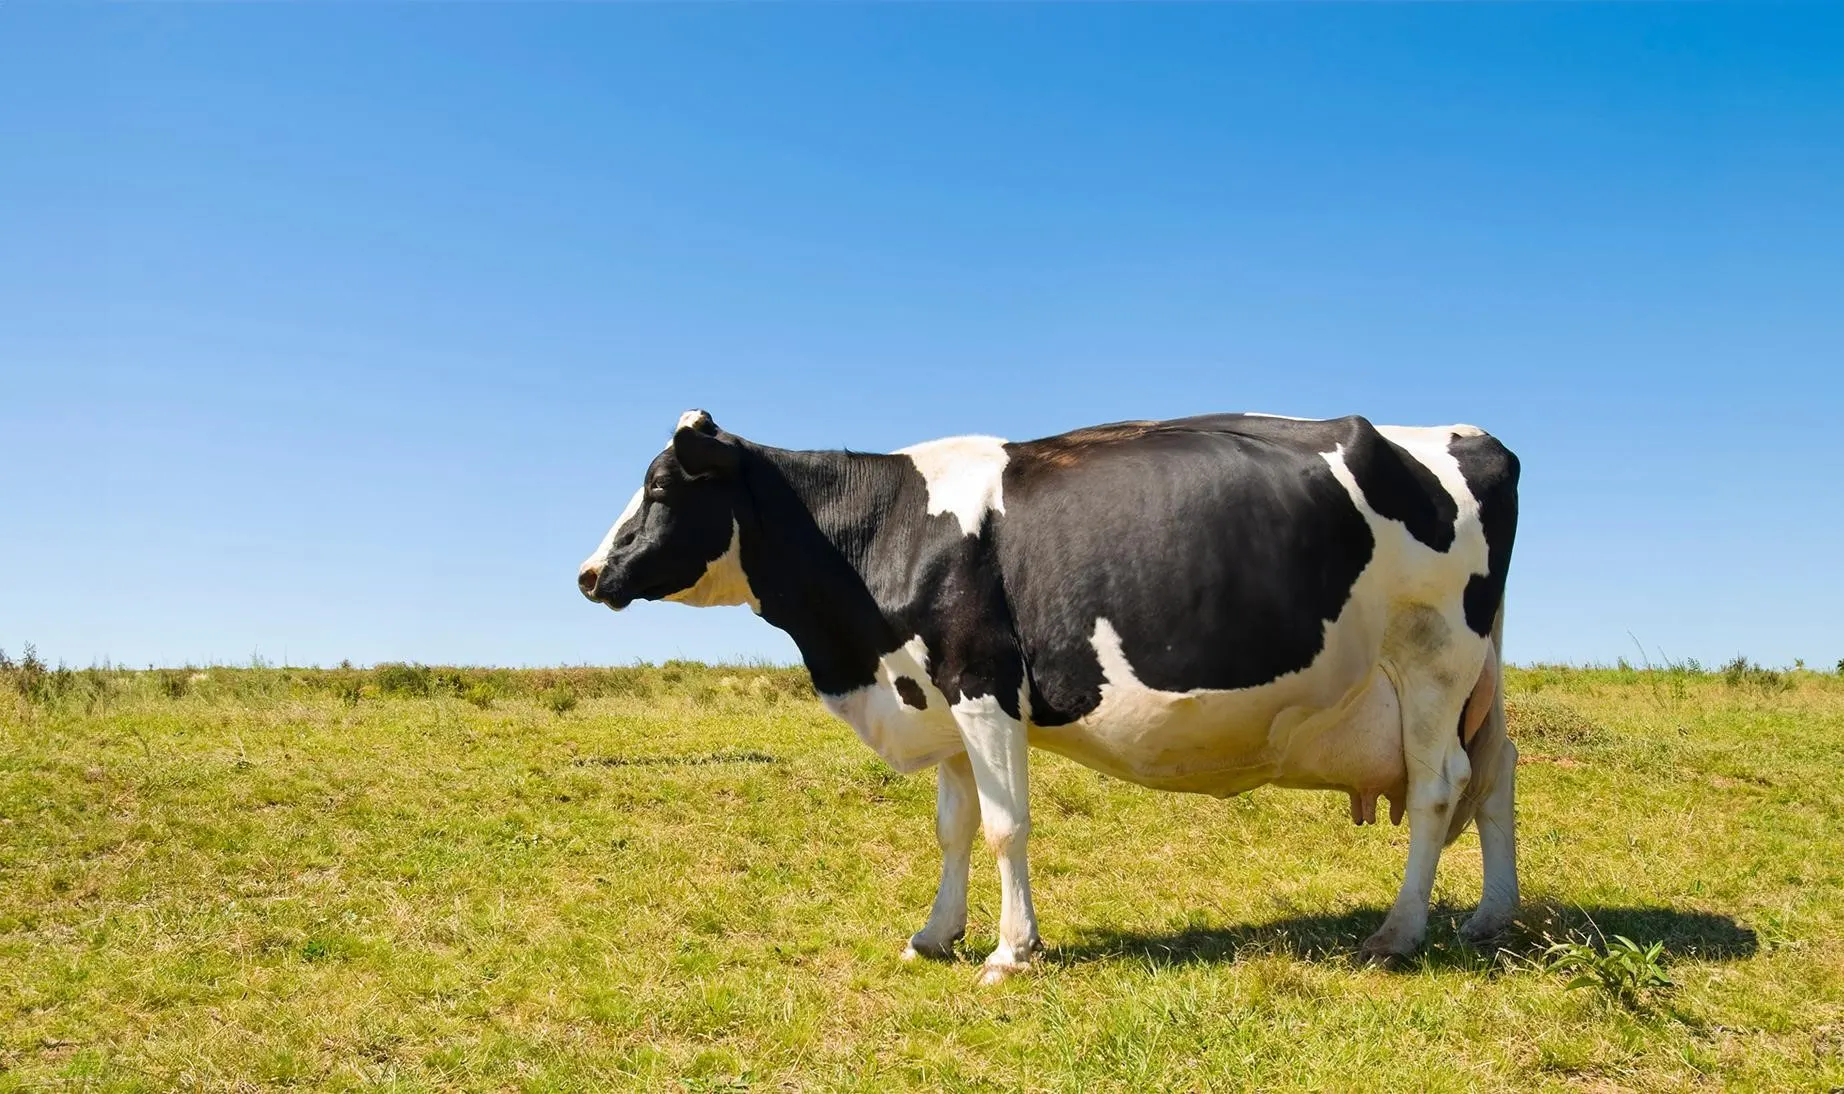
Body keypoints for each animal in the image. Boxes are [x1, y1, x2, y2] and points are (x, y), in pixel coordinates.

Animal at [578, 409, 1520, 983]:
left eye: (660, 487)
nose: (589, 574)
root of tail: (1471, 437)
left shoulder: (982, 683)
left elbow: (1005, 826)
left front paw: (1011, 951)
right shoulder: (939, 698)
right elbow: (953, 827)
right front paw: (935, 935)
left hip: (1434, 655)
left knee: (1438, 787)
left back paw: (1398, 934)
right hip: (1476, 675)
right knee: (1497, 771)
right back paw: (1491, 915)